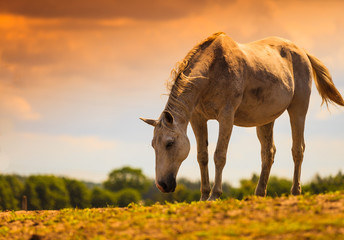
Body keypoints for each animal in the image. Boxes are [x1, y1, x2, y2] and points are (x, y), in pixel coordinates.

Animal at [140, 31, 344, 201]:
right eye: (153, 145)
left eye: (169, 143)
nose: (162, 185)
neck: (212, 70)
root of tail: (301, 51)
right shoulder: (197, 119)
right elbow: (202, 156)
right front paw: (203, 196)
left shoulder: (226, 117)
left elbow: (219, 155)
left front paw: (214, 195)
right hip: (265, 119)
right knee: (268, 153)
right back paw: (259, 194)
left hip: (298, 109)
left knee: (297, 150)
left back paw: (295, 192)